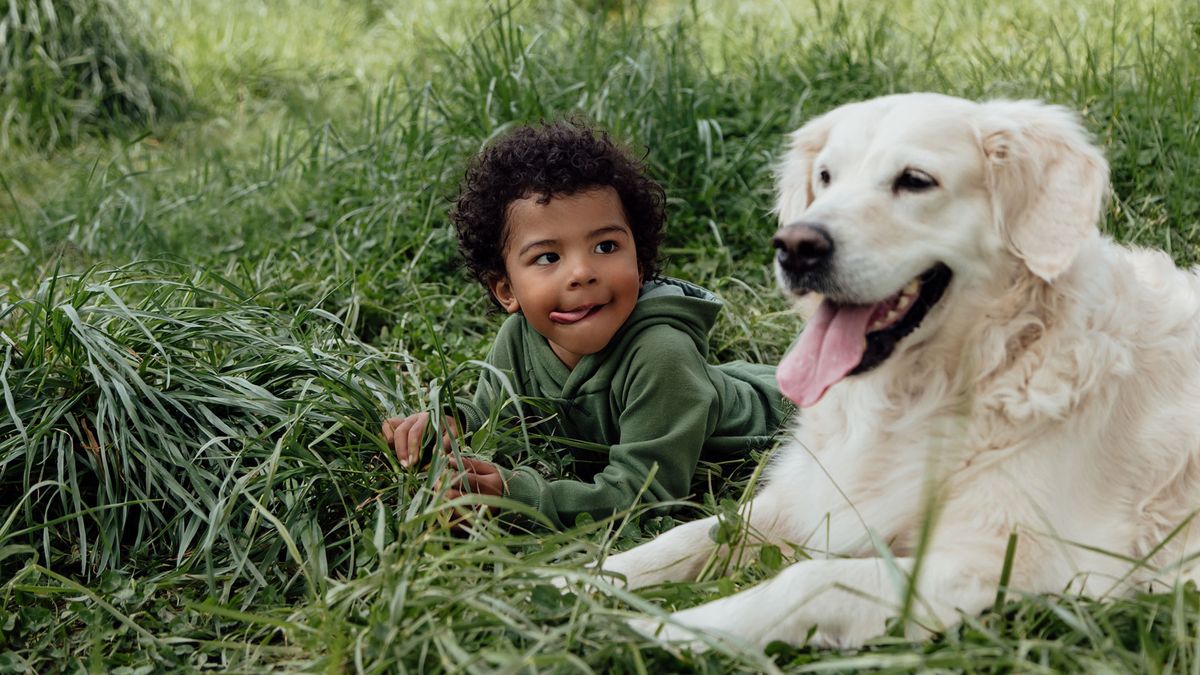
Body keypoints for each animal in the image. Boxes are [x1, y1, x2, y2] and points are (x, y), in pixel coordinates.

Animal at [573, 93, 1200, 648]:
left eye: (915, 180)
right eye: (826, 176)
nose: (794, 246)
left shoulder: (1012, 564)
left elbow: (808, 580)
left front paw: (659, 628)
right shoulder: (806, 497)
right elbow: (683, 537)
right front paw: (569, 585)